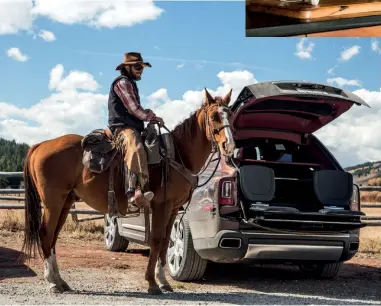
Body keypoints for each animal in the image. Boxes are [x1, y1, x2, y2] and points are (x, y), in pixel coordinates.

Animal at [21, 88, 235, 294]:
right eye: (214, 116)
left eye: (230, 114)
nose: (229, 146)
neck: (177, 155)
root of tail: (40, 145)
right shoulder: (161, 205)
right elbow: (157, 240)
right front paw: (152, 283)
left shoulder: (174, 209)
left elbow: (166, 242)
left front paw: (163, 281)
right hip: (53, 202)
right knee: (45, 234)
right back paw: (52, 282)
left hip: (65, 202)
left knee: (53, 237)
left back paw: (60, 281)